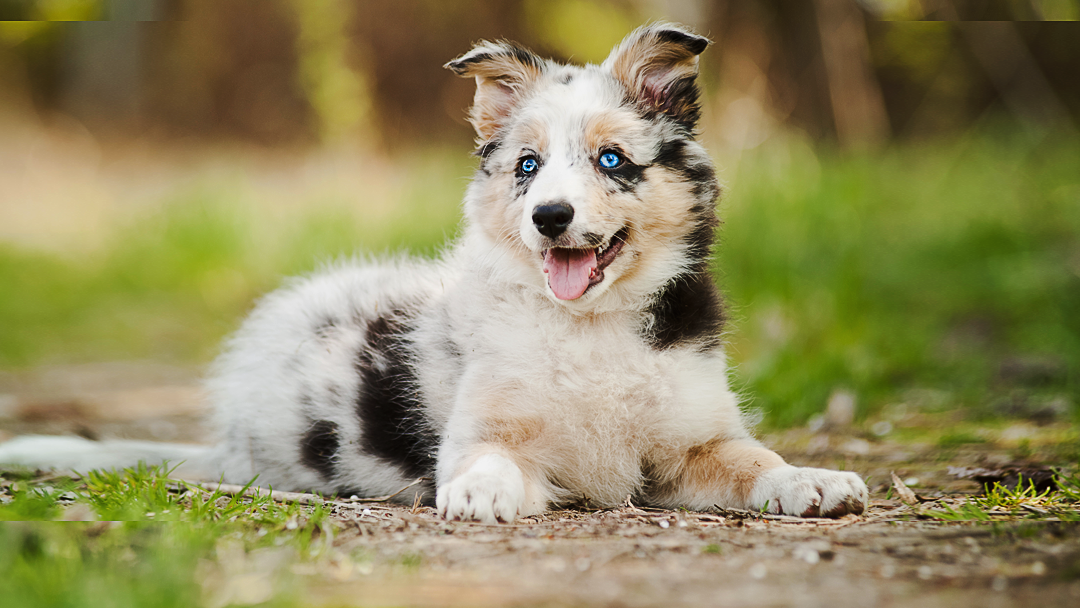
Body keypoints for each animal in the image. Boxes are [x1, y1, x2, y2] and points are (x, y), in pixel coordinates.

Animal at [0, 23, 864, 522]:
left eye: (612, 160)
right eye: (526, 167)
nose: (550, 217)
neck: (587, 327)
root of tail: (232, 444)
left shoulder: (692, 441)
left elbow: (755, 460)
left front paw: (810, 480)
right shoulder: (488, 429)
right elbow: (487, 458)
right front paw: (483, 492)